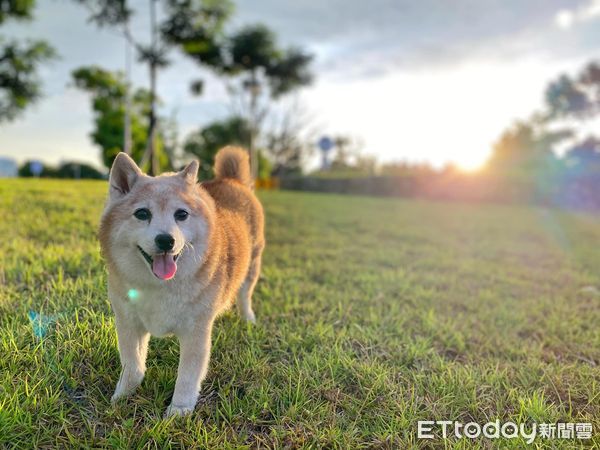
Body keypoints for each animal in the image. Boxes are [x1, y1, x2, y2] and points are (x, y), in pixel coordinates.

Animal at [99, 146, 264, 416]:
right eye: (142, 213)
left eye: (181, 214)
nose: (166, 240)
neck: (159, 286)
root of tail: (231, 180)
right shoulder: (128, 322)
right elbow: (133, 365)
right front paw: (122, 397)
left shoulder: (196, 330)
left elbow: (187, 376)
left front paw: (177, 412)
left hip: (253, 265)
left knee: (244, 294)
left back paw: (248, 317)